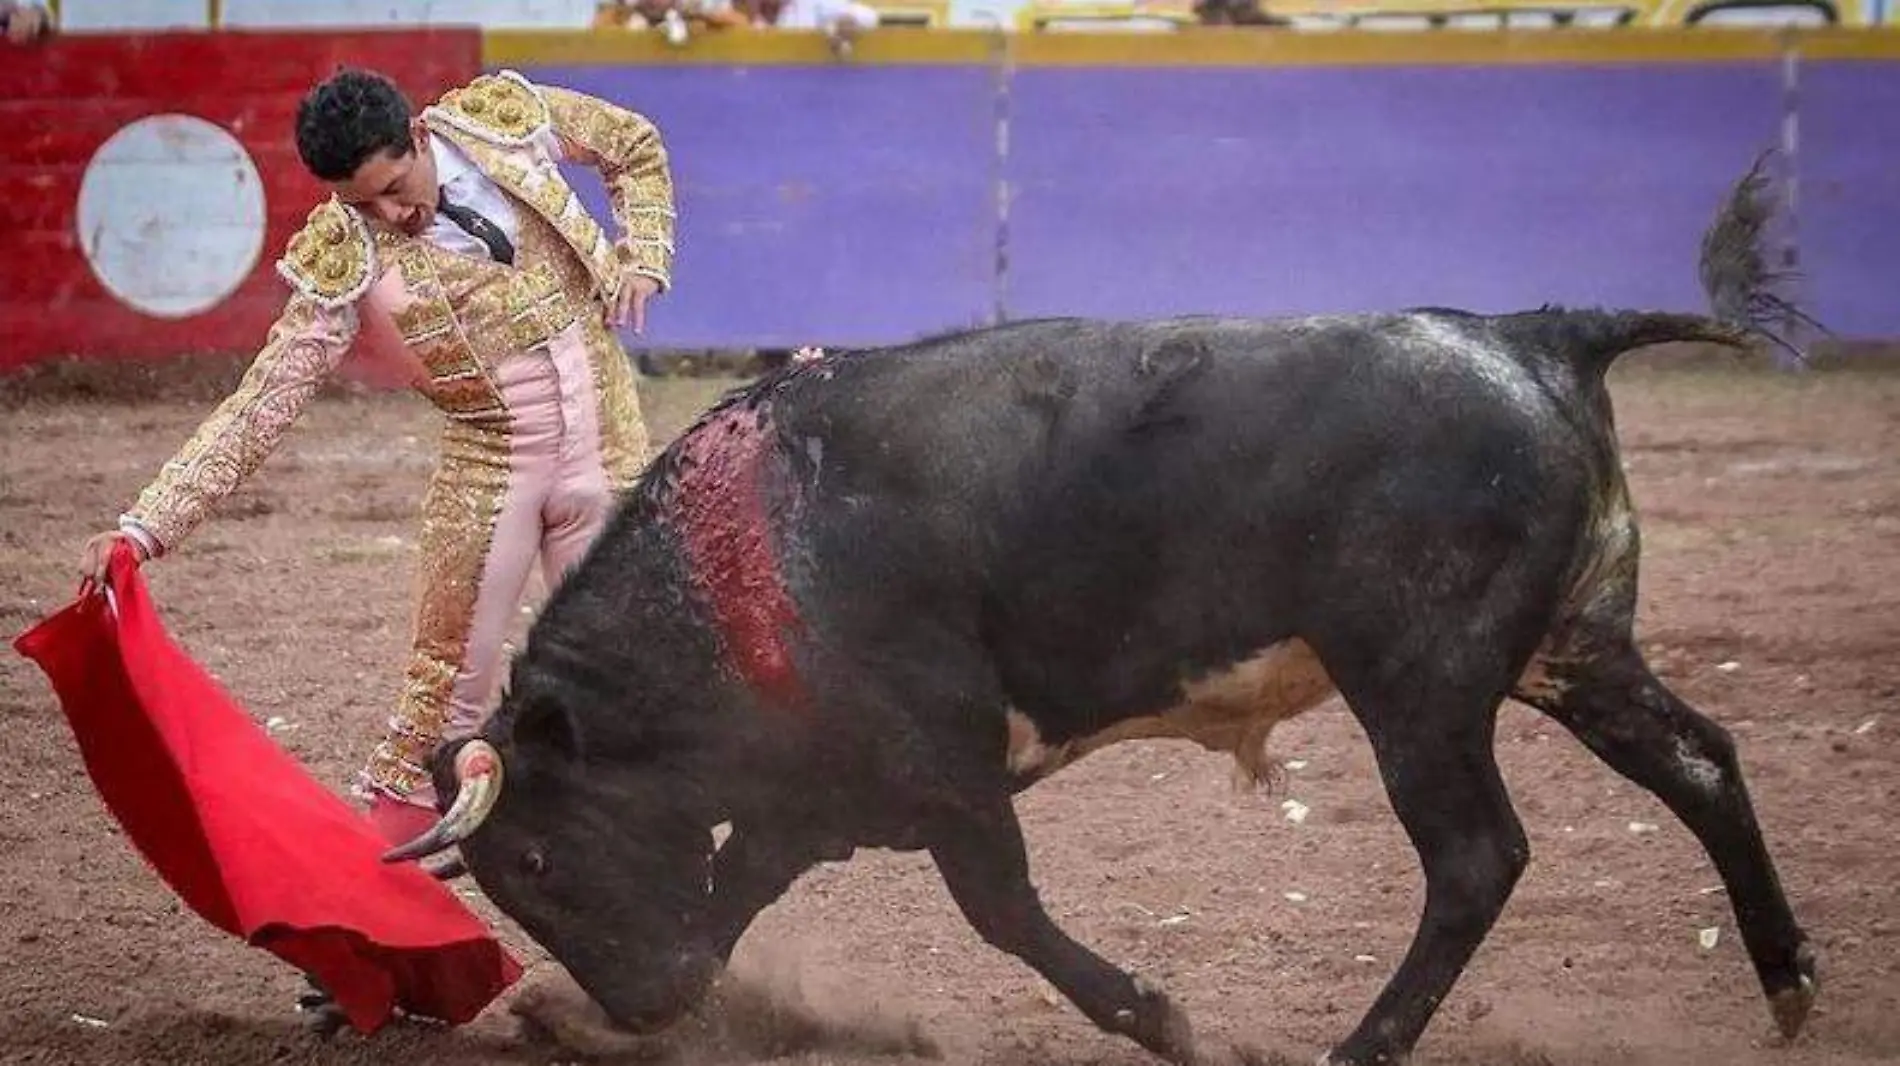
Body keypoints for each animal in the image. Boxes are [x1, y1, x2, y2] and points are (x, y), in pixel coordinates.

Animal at [389, 159, 1824, 1064]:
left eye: (533, 861)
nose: (641, 998)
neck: (750, 553)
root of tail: (1535, 336)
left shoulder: (943, 774)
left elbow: (1000, 909)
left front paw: (1159, 1016)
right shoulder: (825, 791)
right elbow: (736, 883)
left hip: (1419, 682)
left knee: (1476, 855)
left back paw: (1362, 1043)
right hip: (1571, 645)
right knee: (1698, 759)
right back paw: (1790, 982)